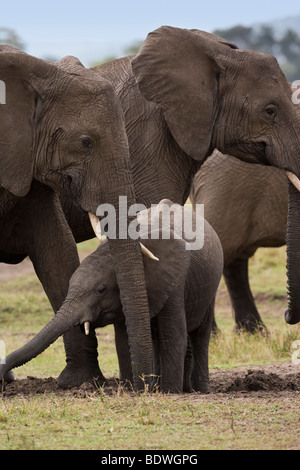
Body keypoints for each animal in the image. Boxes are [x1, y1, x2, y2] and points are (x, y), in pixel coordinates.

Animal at [0, 201, 223, 392]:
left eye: (101, 290)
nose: (5, 378)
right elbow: (123, 342)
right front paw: (132, 390)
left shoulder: (174, 283)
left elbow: (173, 336)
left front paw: (168, 392)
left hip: (210, 285)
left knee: (200, 336)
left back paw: (199, 390)